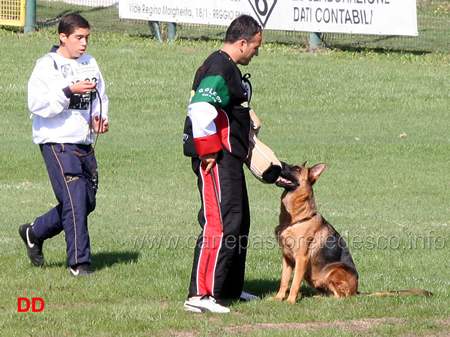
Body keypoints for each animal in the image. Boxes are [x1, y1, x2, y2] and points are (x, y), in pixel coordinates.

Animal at [268, 160, 430, 302]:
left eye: (296, 169)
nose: (279, 162)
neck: (296, 219)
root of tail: (356, 291)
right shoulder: (287, 259)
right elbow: (284, 281)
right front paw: (279, 298)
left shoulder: (301, 259)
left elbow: (295, 283)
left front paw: (290, 301)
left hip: (335, 270)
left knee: (341, 297)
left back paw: (321, 298)